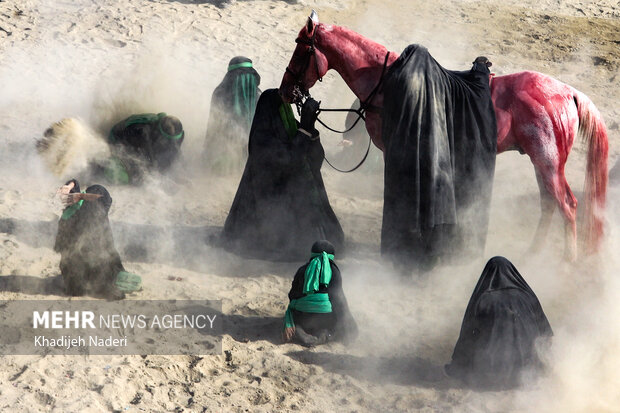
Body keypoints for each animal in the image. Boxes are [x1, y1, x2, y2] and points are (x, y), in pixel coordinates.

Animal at [282, 11, 612, 260]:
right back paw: (533, 254)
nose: (286, 90)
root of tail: (567, 92)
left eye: (300, 49)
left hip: (548, 163)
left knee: (567, 205)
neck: (387, 82)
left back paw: (567, 261)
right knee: (549, 205)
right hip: (541, 164)